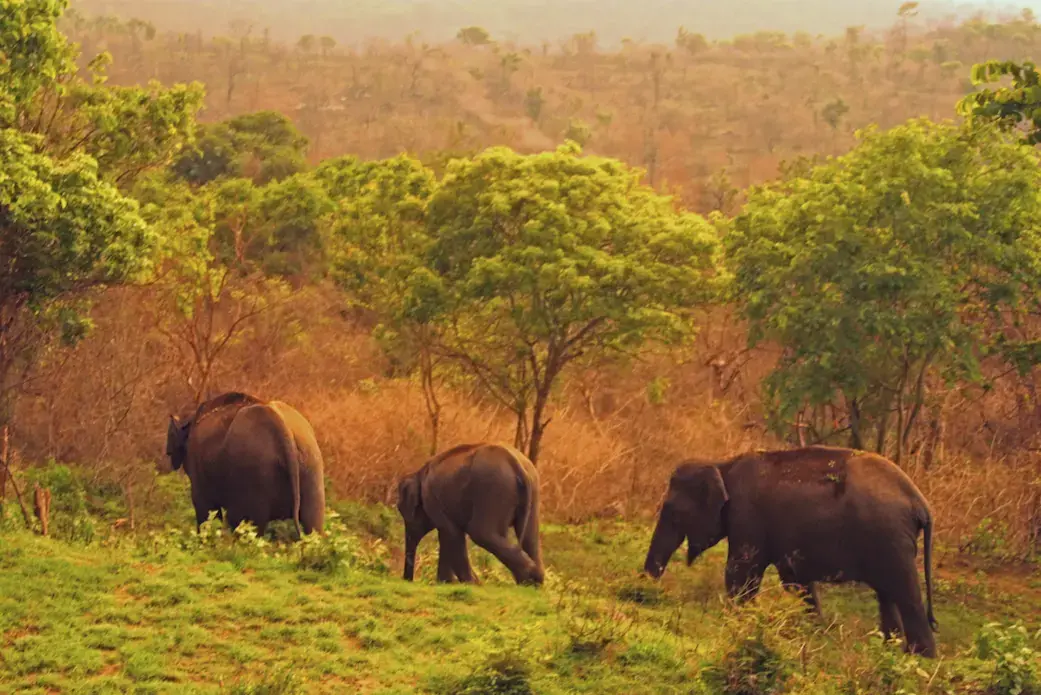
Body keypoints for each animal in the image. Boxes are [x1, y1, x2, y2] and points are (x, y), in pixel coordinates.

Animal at [164, 391, 325, 537]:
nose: (168, 454)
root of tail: (280, 424)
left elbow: (205, 508)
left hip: (251, 472)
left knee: (244, 524)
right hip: (311, 465)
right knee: (313, 524)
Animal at [397, 442, 543, 586]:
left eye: (403, 513)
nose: (407, 580)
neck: (418, 474)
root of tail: (516, 464)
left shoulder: (432, 499)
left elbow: (450, 532)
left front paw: (469, 583)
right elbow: (447, 535)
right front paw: (446, 583)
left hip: (493, 490)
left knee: (481, 533)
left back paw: (530, 576)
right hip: (531, 492)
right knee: (530, 538)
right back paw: (535, 582)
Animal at [644, 445, 938, 657]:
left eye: (672, 513)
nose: (647, 587)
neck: (722, 464)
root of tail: (921, 503)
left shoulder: (747, 516)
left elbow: (741, 573)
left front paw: (739, 621)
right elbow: (795, 581)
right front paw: (815, 632)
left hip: (891, 539)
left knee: (905, 595)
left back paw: (920, 658)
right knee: (888, 596)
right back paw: (890, 650)